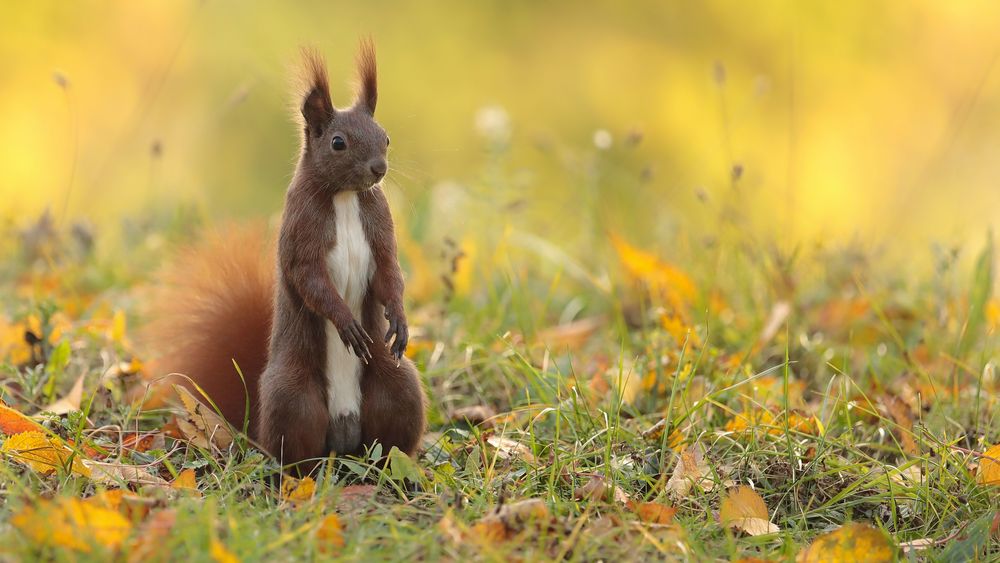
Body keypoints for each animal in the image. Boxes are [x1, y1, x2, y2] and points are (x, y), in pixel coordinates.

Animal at [142, 39, 426, 474]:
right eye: (338, 142)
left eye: (386, 137)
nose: (379, 168)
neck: (344, 197)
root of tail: (342, 436)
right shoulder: (300, 233)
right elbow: (309, 280)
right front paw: (345, 322)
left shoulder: (380, 230)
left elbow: (390, 274)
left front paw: (399, 319)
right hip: (294, 398)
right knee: (293, 449)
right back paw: (299, 475)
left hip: (397, 387)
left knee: (388, 434)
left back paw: (391, 469)